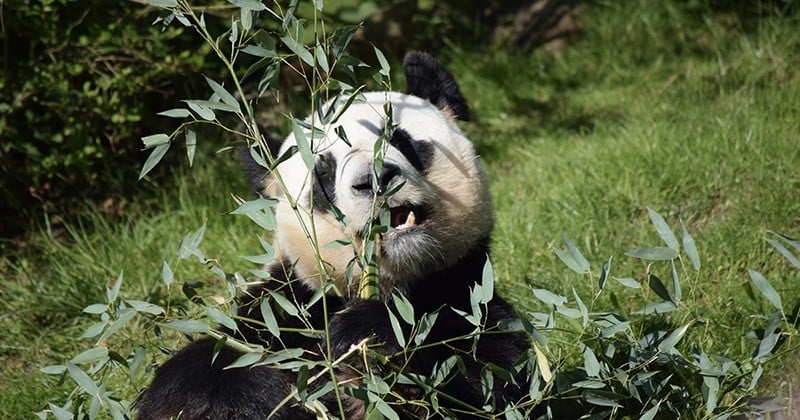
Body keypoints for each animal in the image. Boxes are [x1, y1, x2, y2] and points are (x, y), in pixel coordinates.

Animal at [137, 53, 532, 420]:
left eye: (400, 139)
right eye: (324, 172)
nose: (374, 179)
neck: (393, 285)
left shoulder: (467, 292)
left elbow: (493, 375)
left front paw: (366, 334)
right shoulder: (285, 306)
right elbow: (209, 366)